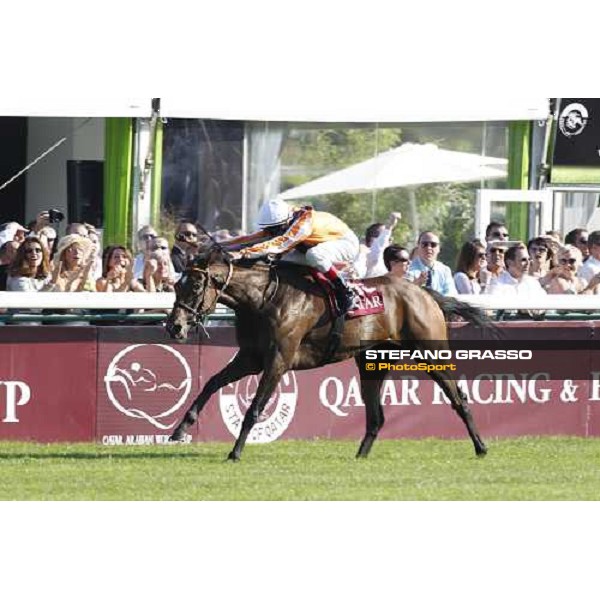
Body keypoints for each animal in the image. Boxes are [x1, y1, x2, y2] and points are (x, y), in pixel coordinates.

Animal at [165, 241, 492, 462]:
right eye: (176, 286)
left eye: (195, 287)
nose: (174, 327)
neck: (262, 298)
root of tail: (423, 292)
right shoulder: (251, 358)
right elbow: (210, 383)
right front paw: (180, 430)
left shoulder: (278, 360)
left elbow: (255, 408)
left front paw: (235, 452)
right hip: (372, 362)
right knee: (376, 417)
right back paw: (360, 457)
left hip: (431, 353)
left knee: (458, 398)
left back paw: (481, 447)